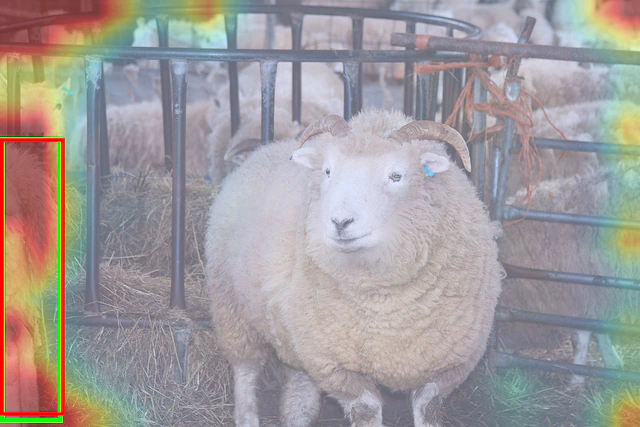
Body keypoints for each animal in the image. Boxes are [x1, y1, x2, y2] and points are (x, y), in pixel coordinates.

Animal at [205, 108, 504, 426]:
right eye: (327, 171)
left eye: (396, 175)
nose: (340, 222)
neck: (384, 303)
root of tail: (267, 147)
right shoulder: (334, 365)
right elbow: (366, 409)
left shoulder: (449, 367)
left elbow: (428, 408)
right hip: (232, 308)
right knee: (245, 369)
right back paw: (247, 413)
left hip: (296, 338)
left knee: (299, 389)